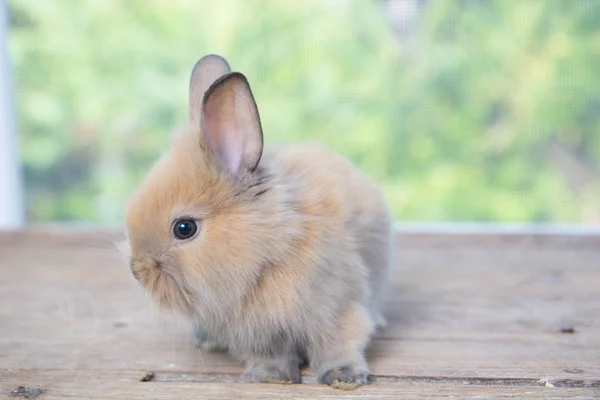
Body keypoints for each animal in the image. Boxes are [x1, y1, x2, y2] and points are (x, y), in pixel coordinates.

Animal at [125, 54, 394, 390]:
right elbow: (272, 355)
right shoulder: (259, 334)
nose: (136, 271)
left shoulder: (337, 307)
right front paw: (270, 377)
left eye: (184, 228)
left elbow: (338, 344)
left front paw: (345, 378)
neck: (266, 256)